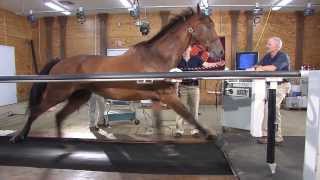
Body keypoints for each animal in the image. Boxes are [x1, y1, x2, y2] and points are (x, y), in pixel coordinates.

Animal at [11, 6, 224, 143]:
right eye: (208, 25)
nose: (220, 52)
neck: (156, 57)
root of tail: (60, 61)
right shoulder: (168, 96)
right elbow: (189, 116)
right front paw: (209, 134)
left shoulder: (157, 99)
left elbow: (159, 125)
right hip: (57, 95)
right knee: (35, 111)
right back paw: (19, 136)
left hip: (79, 97)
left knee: (58, 116)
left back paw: (62, 143)